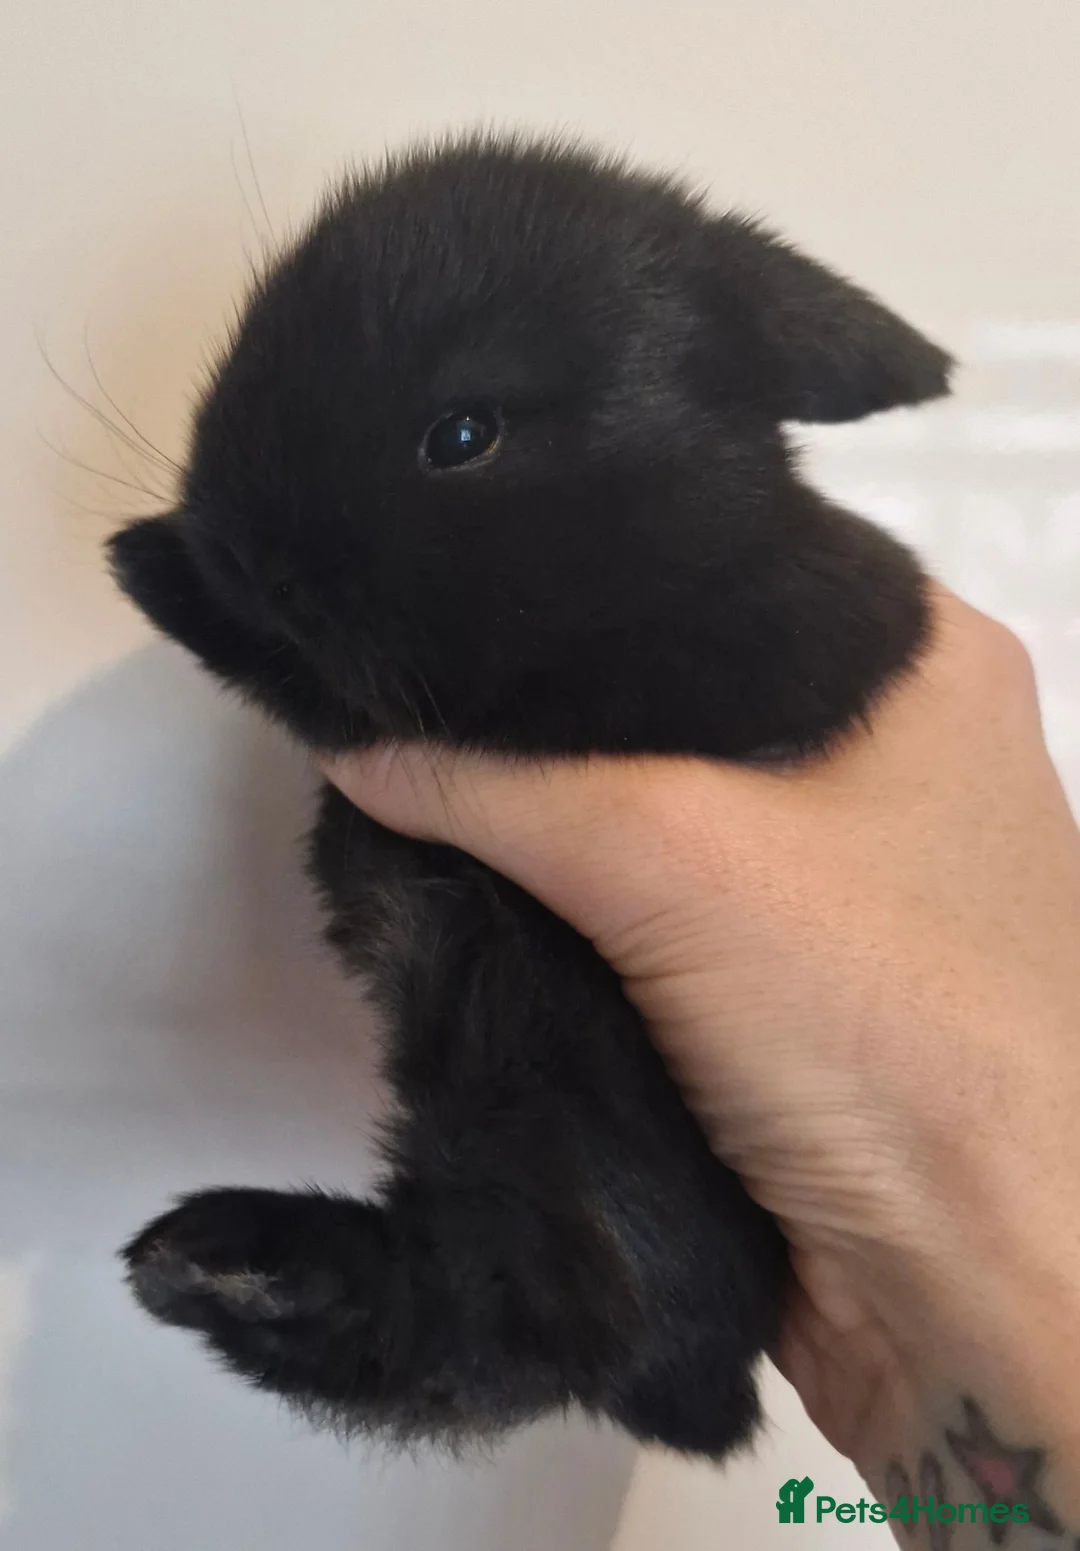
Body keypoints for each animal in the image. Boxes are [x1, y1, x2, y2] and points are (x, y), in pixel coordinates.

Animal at [109, 132, 951, 1459]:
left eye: (463, 434)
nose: (242, 545)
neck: (692, 550)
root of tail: (704, 1396)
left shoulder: (502, 703)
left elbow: (314, 682)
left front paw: (158, 571)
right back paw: (214, 1263)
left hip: (549, 1095)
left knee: (510, 1323)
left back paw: (225, 1263)